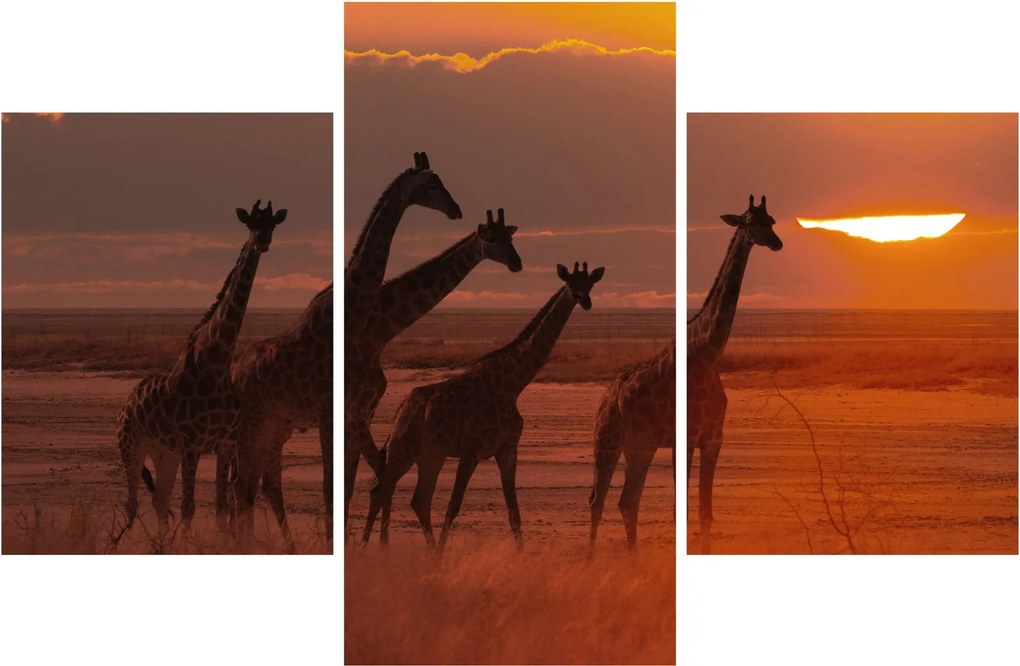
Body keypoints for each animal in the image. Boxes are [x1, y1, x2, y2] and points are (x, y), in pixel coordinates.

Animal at [115, 199, 286, 545]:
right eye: (250, 223)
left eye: (272, 224)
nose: (262, 242)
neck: (218, 359)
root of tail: (126, 403)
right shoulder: (192, 444)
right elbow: (189, 508)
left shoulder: (224, 444)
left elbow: (221, 508)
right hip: (131, 447)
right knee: (133, 504)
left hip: (164, 453)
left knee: (159, 499)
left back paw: (162, 546)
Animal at [361, 262, 606, 551]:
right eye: (570, 282)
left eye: (590, 283)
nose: (585, 300)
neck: (513, 385)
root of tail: (400, 409)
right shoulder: (472, 450)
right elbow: (454, 505)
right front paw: (443, 554)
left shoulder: (507, 449)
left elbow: (514, 511)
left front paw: (521, 555)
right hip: (404, 448)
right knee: (381, 490)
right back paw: (369, 548)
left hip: (431, 455)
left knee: (417, 499)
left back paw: (419, 550)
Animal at [687, 194, 782, 554]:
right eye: (749, 222)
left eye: (772, 220)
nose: (777, 243)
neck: (707, 354)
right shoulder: (689, 436)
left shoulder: (715, 436)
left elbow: (705, 513)